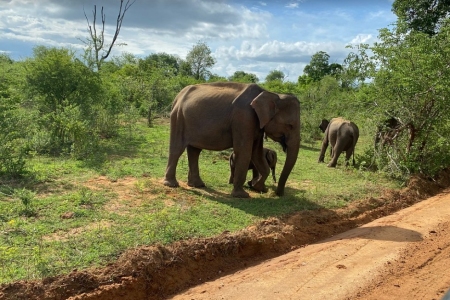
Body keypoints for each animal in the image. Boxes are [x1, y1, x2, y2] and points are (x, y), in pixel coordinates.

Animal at [163, 83, 300, 198]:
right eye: (290, 125)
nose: (277, 194)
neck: (271, 93)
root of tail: (177, 97)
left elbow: (256, 153)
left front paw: (258, 187)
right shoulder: (244, 118)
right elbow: (244, 152)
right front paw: (242, 195)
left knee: (194, 151)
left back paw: (198, 185)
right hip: (178, 117)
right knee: (177, 148)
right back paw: (171, 184)